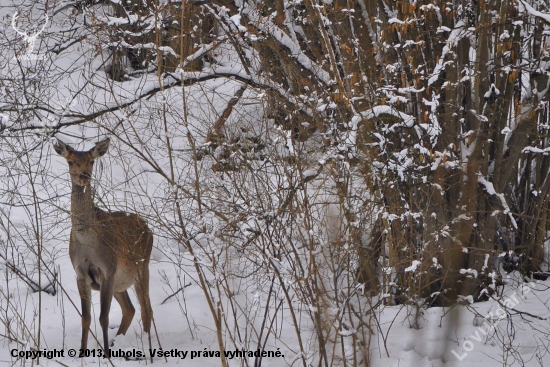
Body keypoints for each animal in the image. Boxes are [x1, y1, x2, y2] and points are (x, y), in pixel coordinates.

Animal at [52, 138, 154, 360]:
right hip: (120, 282)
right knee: (130, 309)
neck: (87, 242)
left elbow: (104, 318)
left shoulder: (108, 269)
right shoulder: (81, 273)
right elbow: (86, 317)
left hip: (142, 267)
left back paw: (148, 352)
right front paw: (82, 354)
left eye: (91, 161)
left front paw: (105, 355)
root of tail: (148, 228)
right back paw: (118, 344)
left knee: (146, 310)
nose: (84, 176)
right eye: (71, 162)